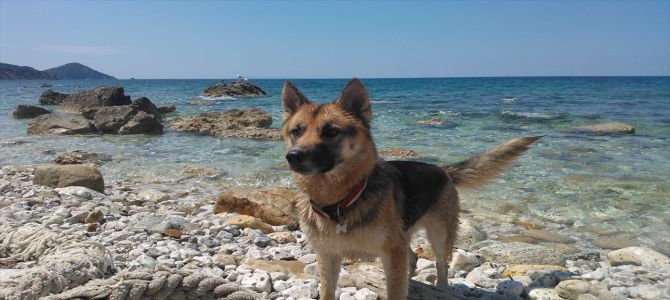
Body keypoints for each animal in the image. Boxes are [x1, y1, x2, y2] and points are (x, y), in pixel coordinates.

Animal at [280, 78, 544, 298]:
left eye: (331, 131)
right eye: (296, 131)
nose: (293, 156)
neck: (342, 201)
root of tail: (443, 171)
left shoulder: (391, 252)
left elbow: (397, 291)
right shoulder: (328, 257)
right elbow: (328, 292)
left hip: (439, 235)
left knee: (440, 263)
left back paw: (441, 288)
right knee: (414, 258)